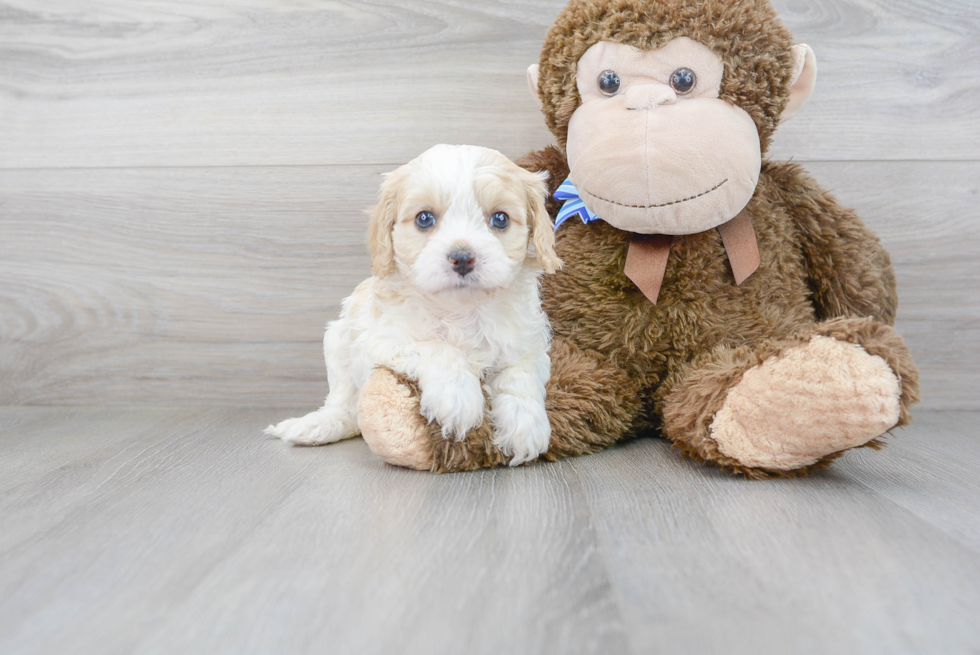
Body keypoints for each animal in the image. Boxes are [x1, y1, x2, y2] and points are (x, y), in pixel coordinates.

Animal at [264, 144, 564, 466]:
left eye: (500, 219)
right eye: (424, 219)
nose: (462, 257)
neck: (462, 311)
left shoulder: (529, 346)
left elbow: (520, 376)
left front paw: (525, 425)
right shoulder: (381, 339)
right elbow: (437, 348)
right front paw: (458, 398)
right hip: (337, 341)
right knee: (344, 404)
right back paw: (319, 425)